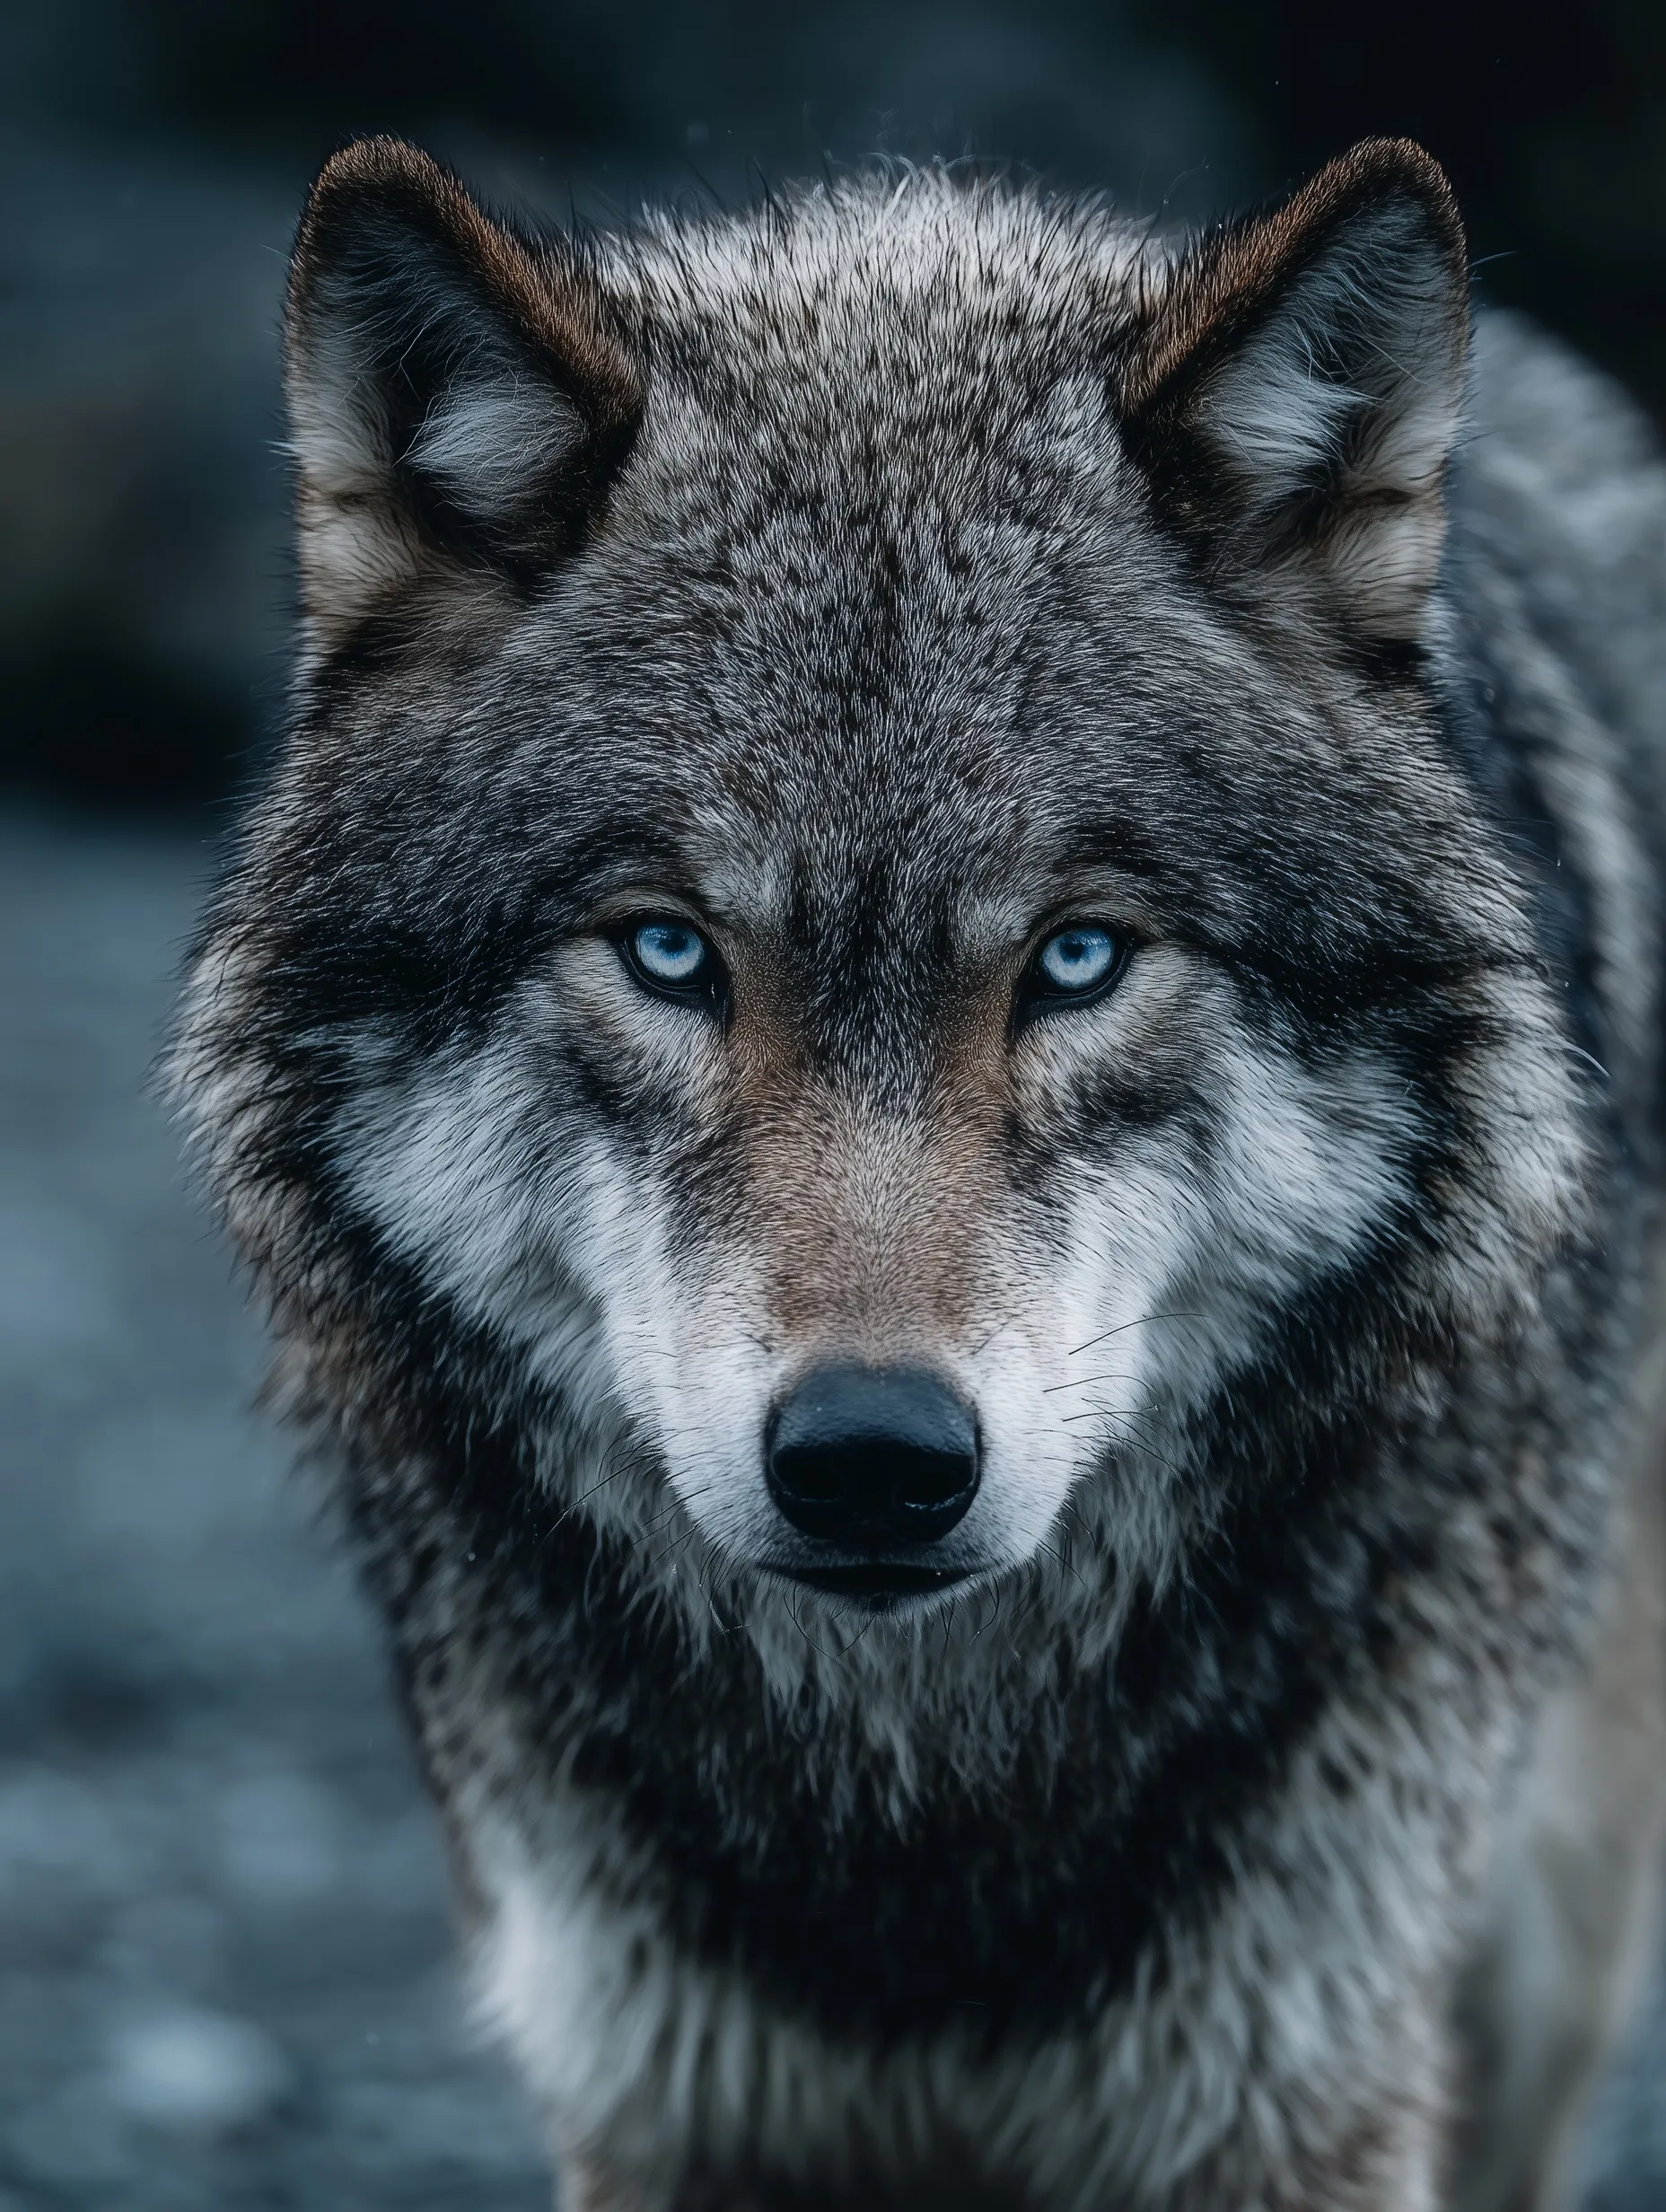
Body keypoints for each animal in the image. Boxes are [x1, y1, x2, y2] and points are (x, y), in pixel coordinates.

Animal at [172, 134, 1666, 2210]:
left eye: (1077, 958)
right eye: (668, 951)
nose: (871, 1456)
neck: (917, 1819)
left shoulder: (1293, 2082)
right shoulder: (665, 2092)